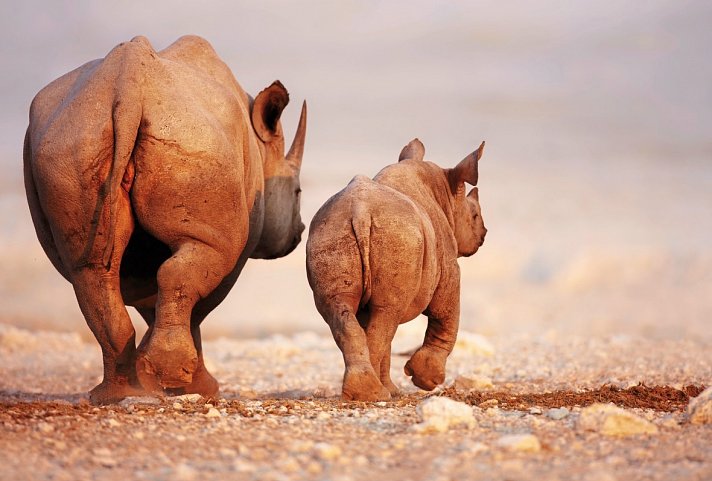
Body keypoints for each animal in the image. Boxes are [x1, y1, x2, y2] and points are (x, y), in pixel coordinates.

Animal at [306, 140, 484, 402]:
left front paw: (394, 390)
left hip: (331, 232)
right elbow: (445, 315)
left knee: (348, 311)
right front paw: (426, 380)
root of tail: (360, 211)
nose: (484, 233)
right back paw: (375, 395)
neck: (445, 195)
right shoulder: (448, 266)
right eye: (475, 215)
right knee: (387, 315)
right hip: (397, 236)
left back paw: (366, 393)